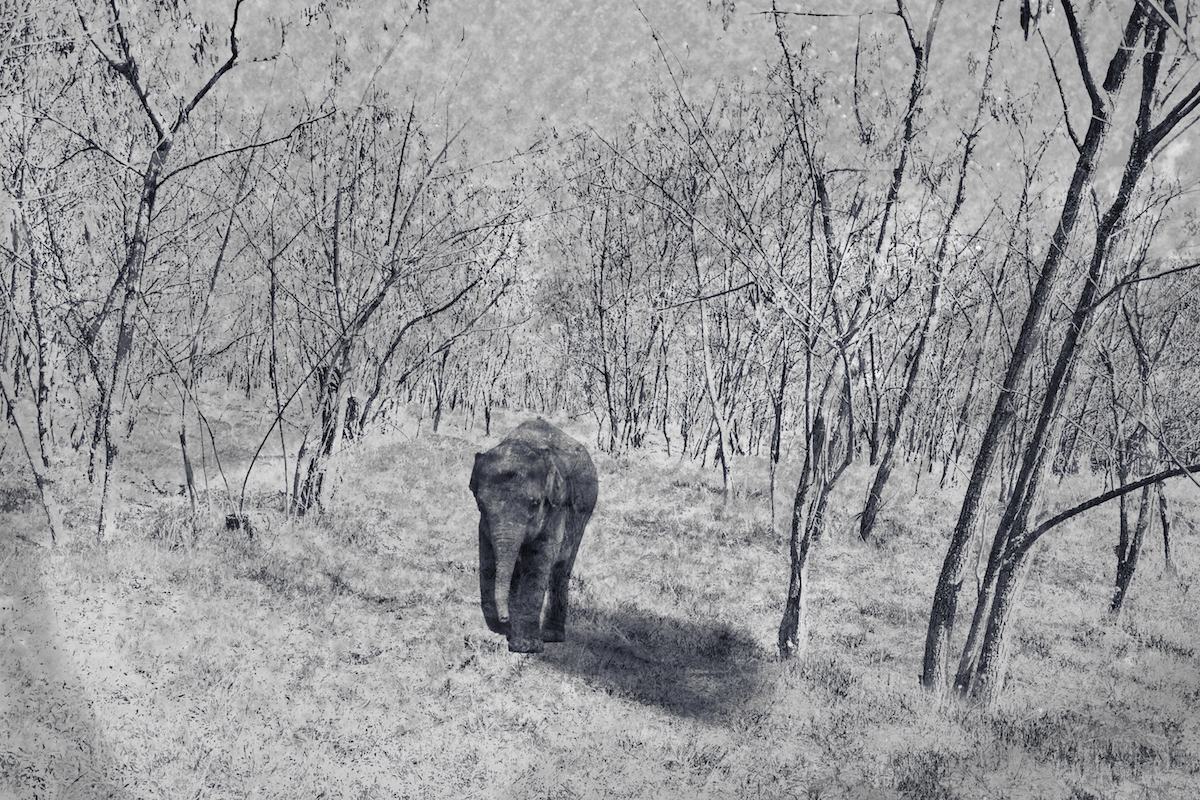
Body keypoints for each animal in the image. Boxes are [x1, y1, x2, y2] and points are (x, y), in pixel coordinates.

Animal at [469, 418, 598, 653]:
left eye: (534, 504)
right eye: (480, 504)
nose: (503, 619)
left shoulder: (557, 507)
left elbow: (538, 561)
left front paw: (526, 646)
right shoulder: (484, 525)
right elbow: (489, 561)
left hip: (584, 513)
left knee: (561, 569)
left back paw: (551, 636)